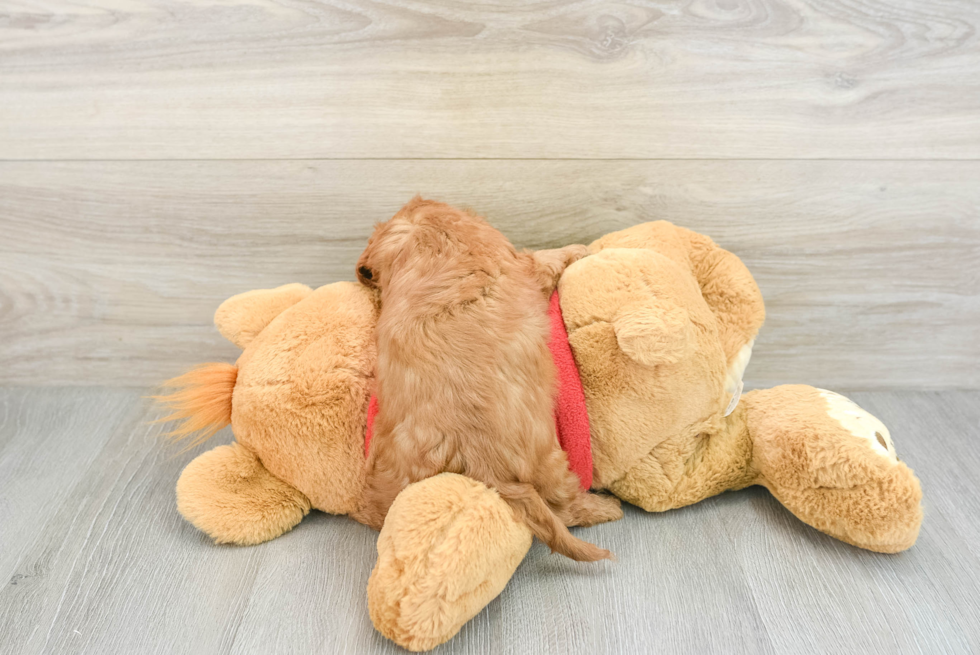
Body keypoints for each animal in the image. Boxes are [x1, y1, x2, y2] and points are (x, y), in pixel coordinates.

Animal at [354, 197, 620, 560]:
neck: (425, 235)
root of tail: (482, 461)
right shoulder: (522, 262)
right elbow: (548, 257)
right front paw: (579, 248)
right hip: (551, 462)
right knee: (565, 508)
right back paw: (605, 508)